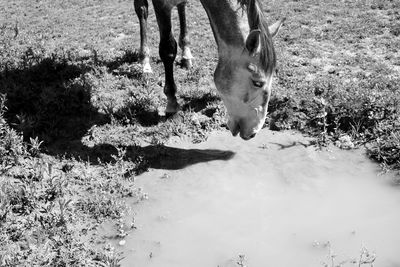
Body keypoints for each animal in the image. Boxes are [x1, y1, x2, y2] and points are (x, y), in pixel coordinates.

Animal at [133, 0, 282, 141]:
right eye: (257, 83)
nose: (253, 132)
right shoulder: (161, 5)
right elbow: (167, 49)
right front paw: (171, 102)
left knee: (181, 6)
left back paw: (186, 55)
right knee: (142, 10)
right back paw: (145, 61)